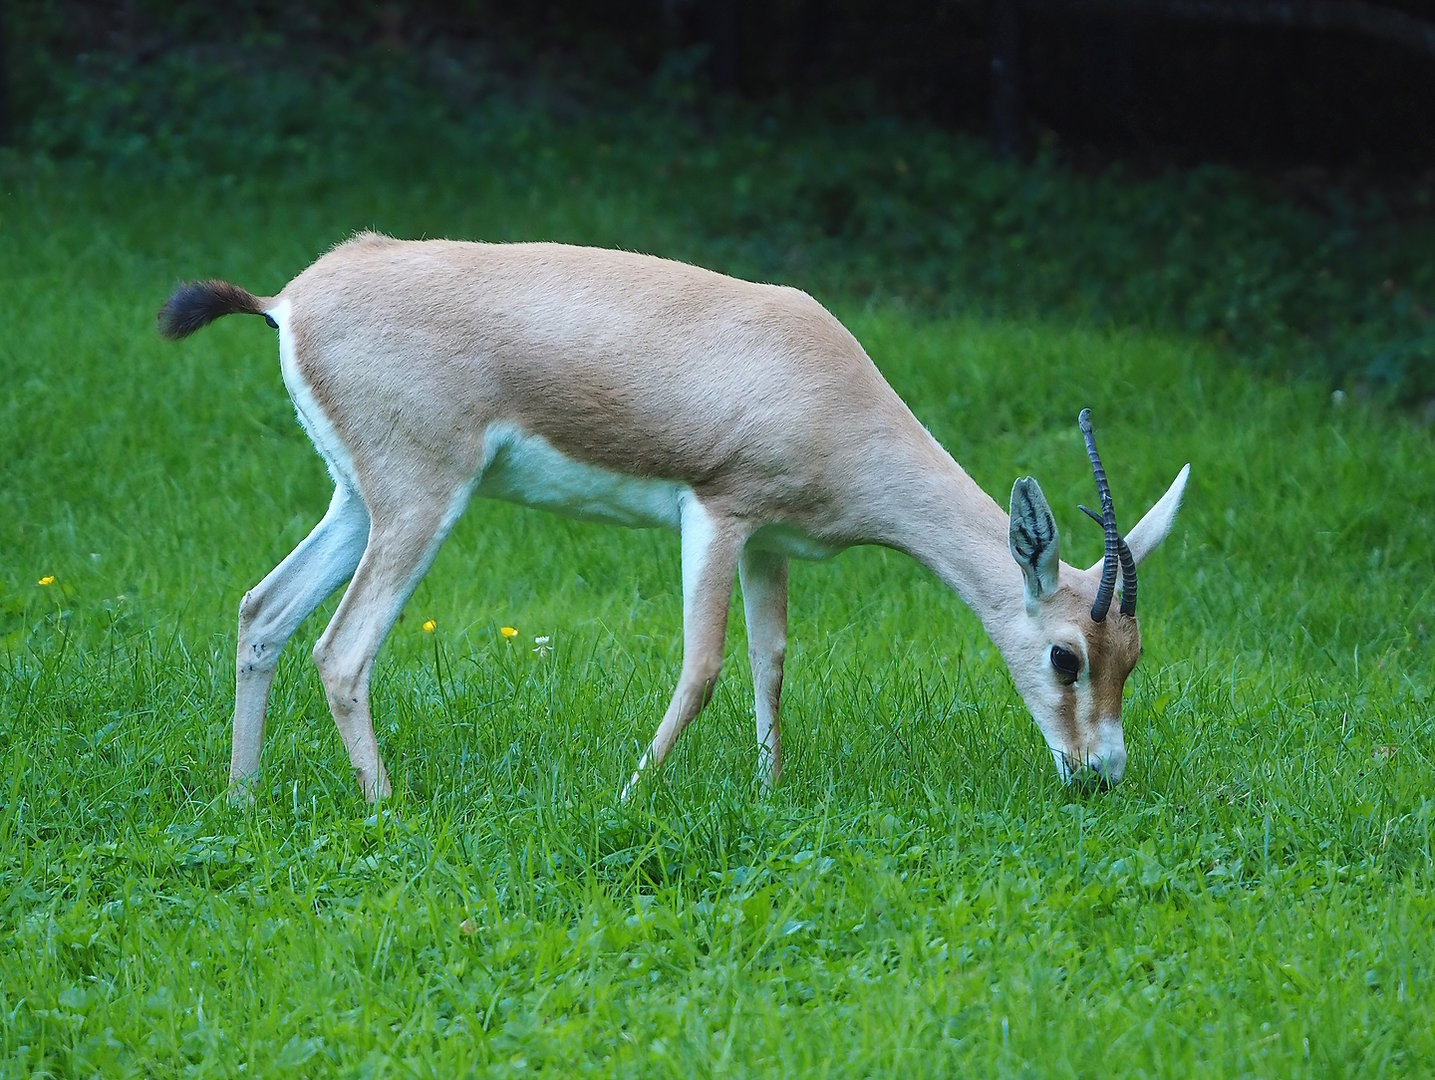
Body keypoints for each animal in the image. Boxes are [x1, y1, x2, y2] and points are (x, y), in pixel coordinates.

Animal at [157, 233, 1189, 803]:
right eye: (1066, 655)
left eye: (1132, 660)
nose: (1100, 774)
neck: (828, 389)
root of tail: (293, 298)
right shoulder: (717, 514)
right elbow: (703, 667)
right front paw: (628, 796)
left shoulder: (769, 544)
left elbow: (772, 664)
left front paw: (770, 794)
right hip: (419, 501)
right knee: (341, 648)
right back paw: (387, 810)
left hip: (354, 501)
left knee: (263, 611)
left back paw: (242, 800)